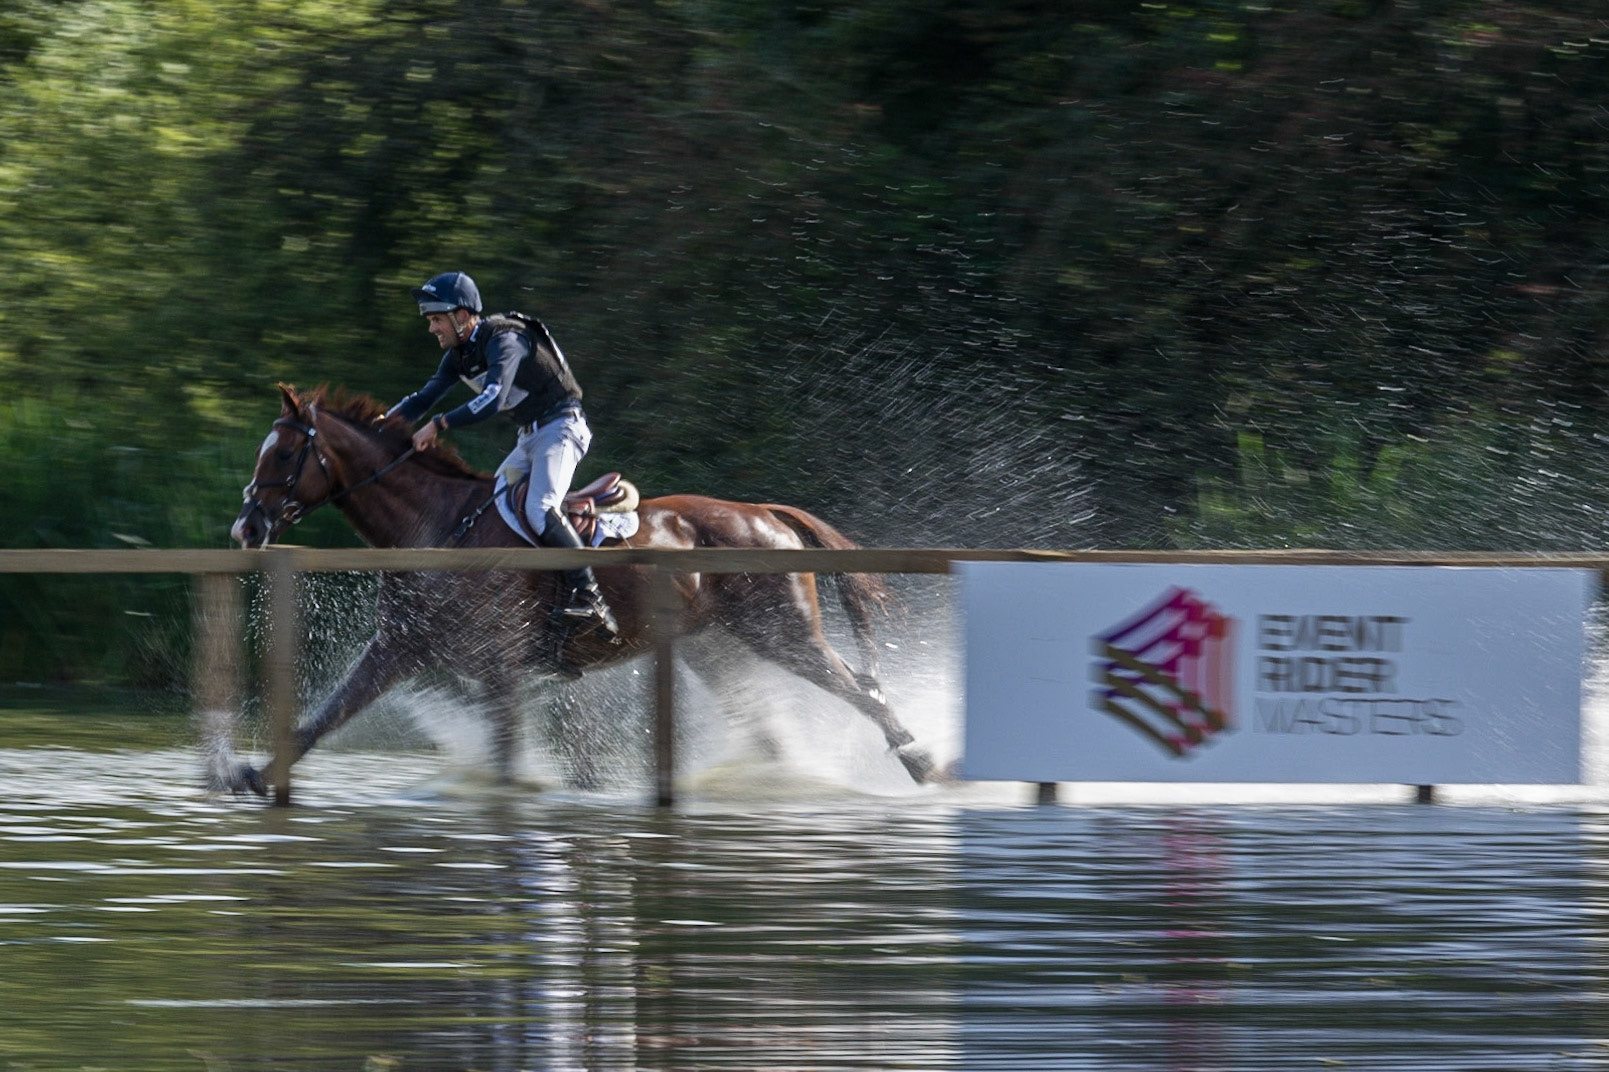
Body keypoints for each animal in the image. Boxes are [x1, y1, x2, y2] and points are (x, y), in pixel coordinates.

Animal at [219, 384, 935, 795]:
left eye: (283, 455)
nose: (245, 527)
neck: (438, 528)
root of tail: (763, 512)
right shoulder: (400, 650)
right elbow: (324, 717)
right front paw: (253, 775)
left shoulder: (499, 670)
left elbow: (510, 761)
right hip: (715, 649)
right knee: (775, 729)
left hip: (782, 634)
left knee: (858, 690)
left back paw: (920, 760)